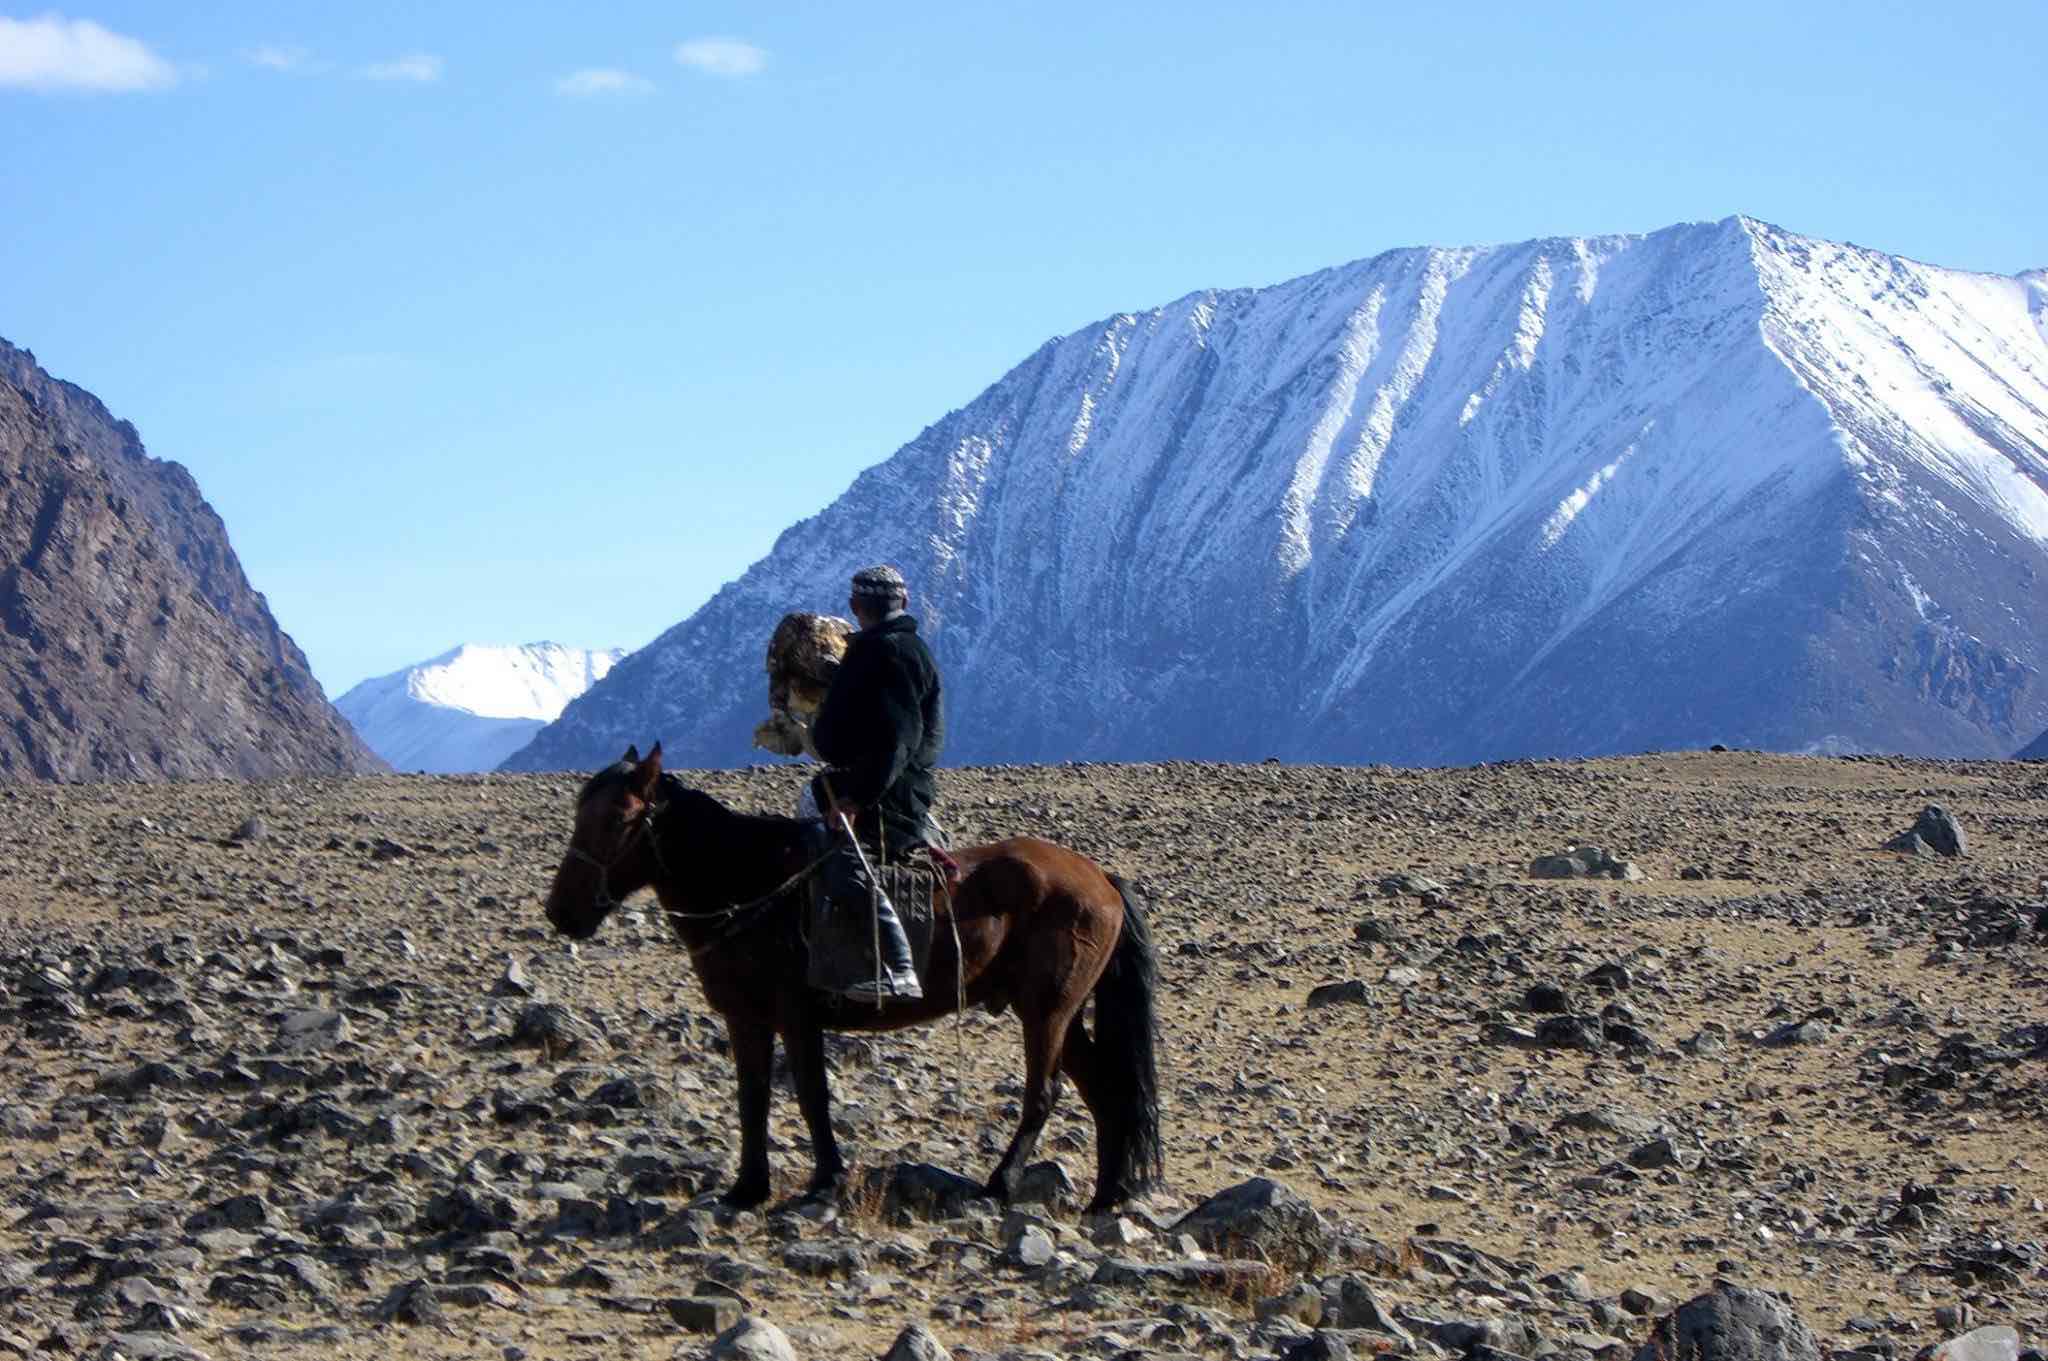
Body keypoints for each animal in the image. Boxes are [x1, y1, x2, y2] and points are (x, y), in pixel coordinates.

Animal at [540, 744, 1171, 1211]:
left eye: (619, 819)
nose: (562, 913)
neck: (751, 884)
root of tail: (1101, 878)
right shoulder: (746, 1019)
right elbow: (752, 1096)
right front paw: (747, 1189)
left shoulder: (796, 1016)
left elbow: (810, 1094)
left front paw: (823, 1181)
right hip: (1058, 1012)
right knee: (1106, 1090)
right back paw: (1106, 1198)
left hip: (1048, 1010)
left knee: (1045, 1093)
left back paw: (1001, 1185)